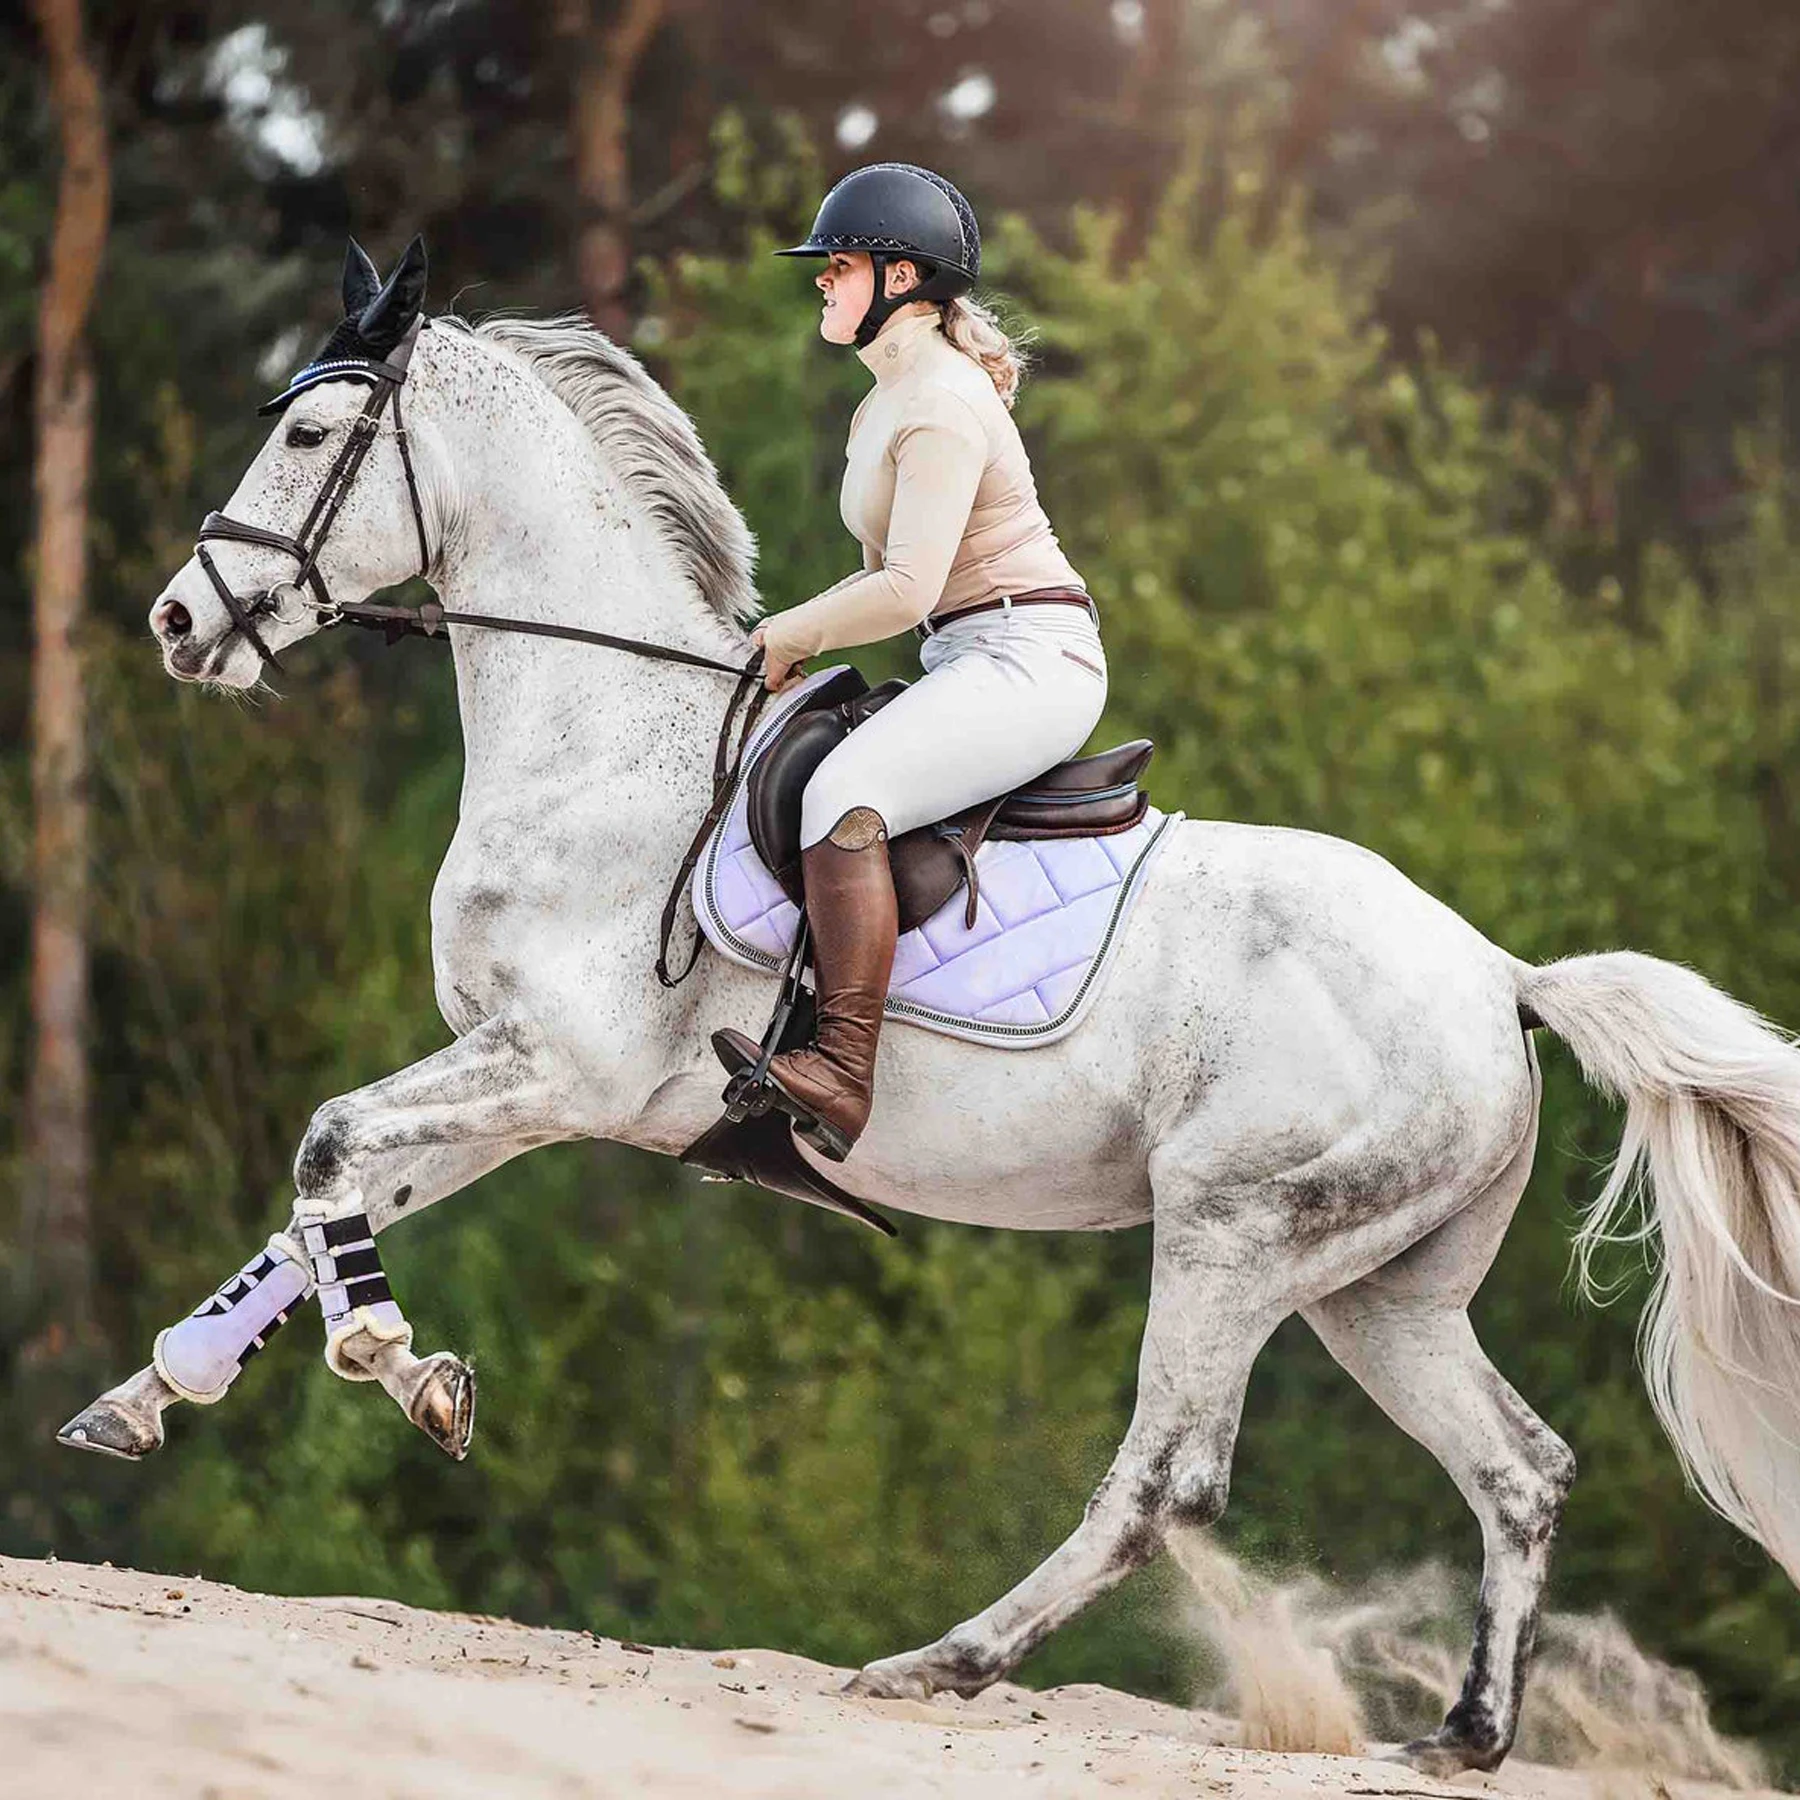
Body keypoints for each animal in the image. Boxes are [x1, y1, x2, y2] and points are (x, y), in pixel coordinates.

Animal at [61, 244, 1800, 1775]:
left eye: (306, 434)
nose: (177, 623)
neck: (607, 738)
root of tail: (1499, 975)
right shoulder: (523, 1086)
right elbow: (322, 1199)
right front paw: (158, 1396)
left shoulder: (557, 1068)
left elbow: (325, 1146)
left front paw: (399, 1366)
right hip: (1380, 1289)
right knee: (1519, 1469)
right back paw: (1466, 1732)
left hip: (1235, 1236)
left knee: (1166, 1483)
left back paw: (937, 1664)